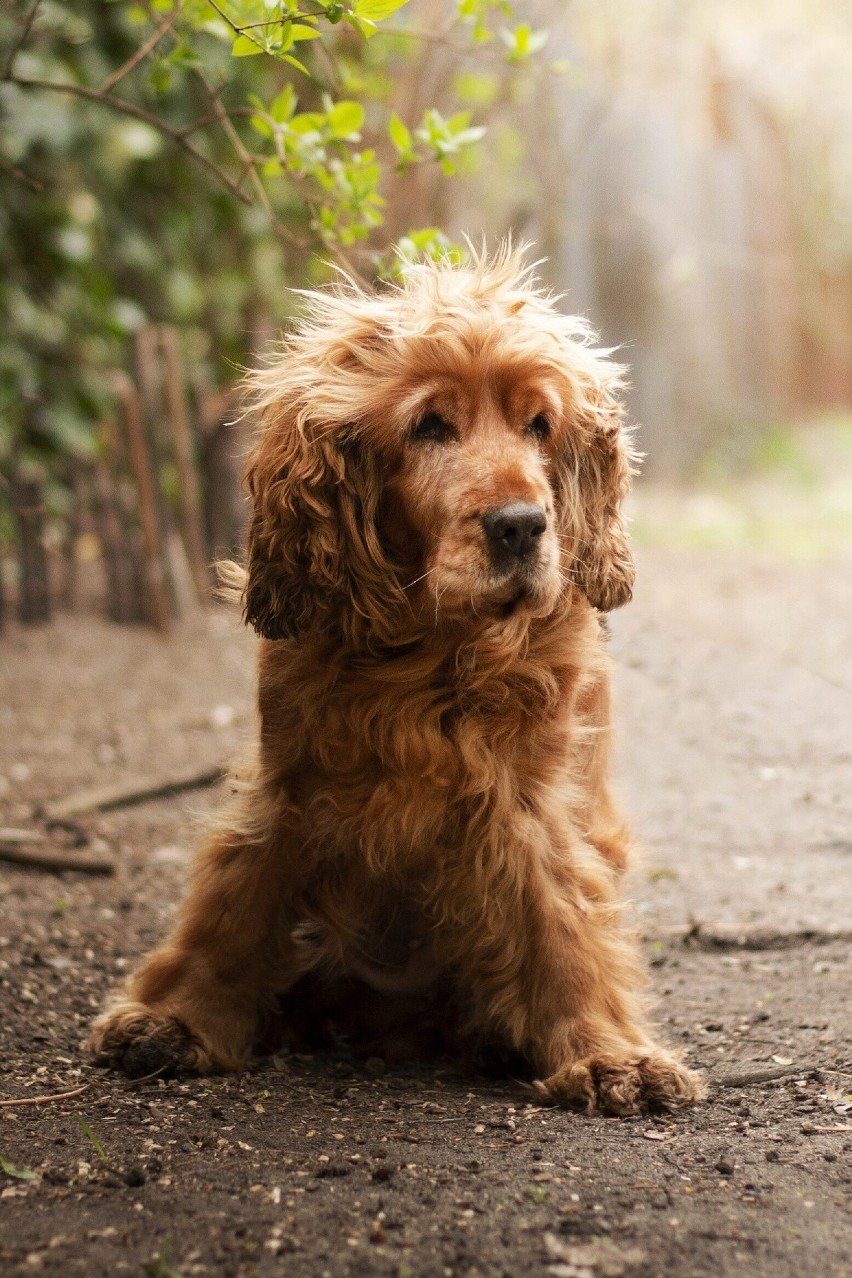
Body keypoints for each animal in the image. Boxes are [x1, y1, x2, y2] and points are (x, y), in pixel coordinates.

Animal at [91, 244, 705, 1114]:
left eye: (540, 425)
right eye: (429, 426)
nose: (522, 526)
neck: (431, 653)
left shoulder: (528, 795)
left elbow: (561, 914)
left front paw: (609, 1054)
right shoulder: (292, 782)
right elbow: (237, 896)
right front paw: (173, 1018)